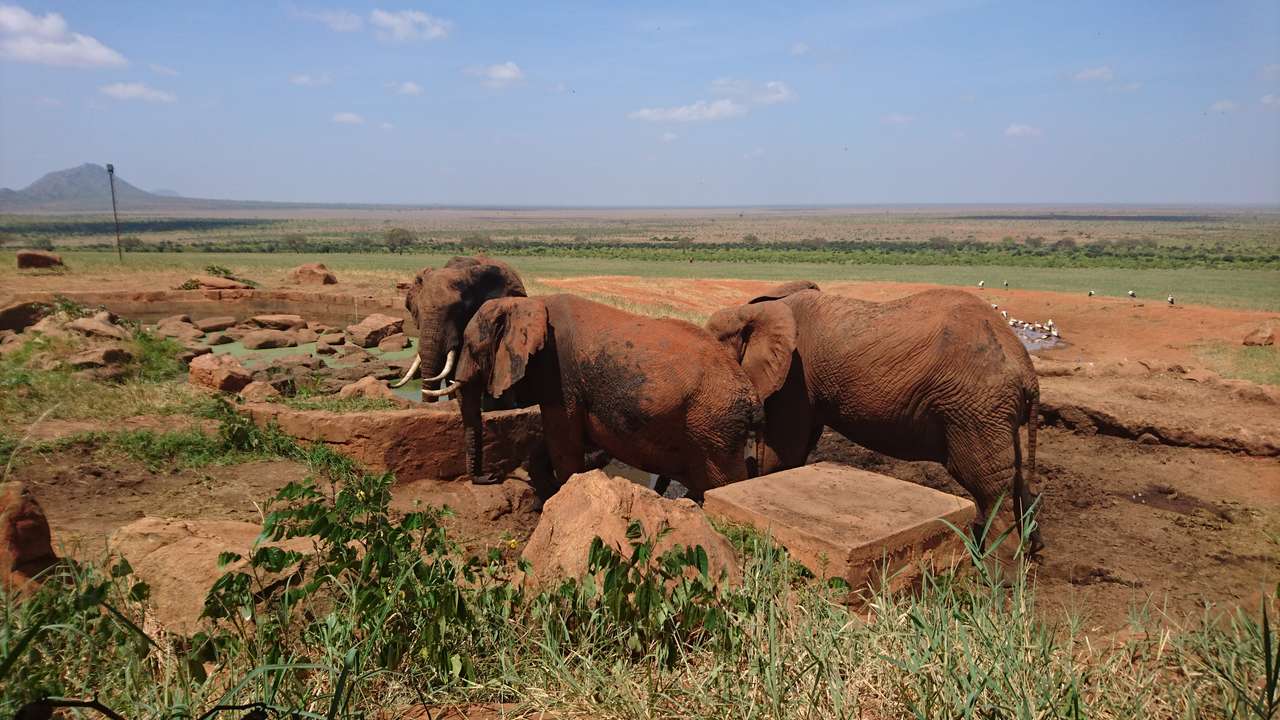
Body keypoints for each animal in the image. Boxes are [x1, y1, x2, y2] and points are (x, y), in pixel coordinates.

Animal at [424, 294, 778, 497]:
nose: (492, 476)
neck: (525, 305)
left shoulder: (560, 373)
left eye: (473, 348)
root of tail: (752, 396)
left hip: (714, 427)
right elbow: (555, 441)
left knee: (723, 482)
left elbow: (563, 443)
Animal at [706, 280, 1044, 548]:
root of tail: (1027, 370)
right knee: (1010, 475)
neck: (755, 310)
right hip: (991, 412)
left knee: (989, 486)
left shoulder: (794, 378)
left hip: (976, 407)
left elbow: (782, 454)